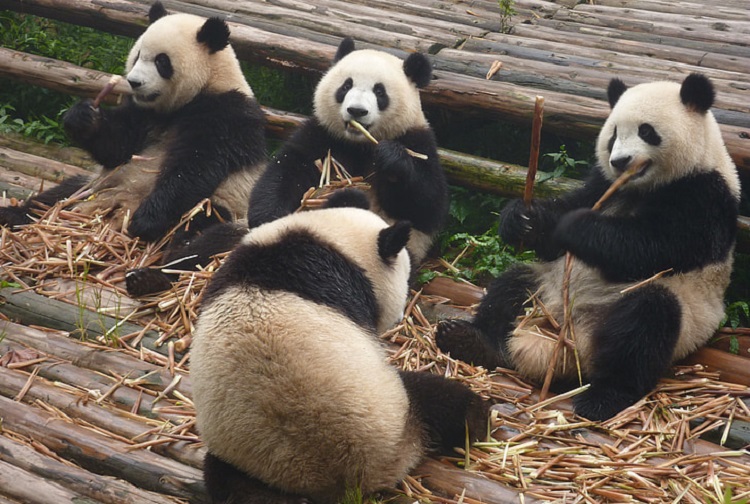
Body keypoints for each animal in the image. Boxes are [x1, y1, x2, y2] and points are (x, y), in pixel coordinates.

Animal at [0, 2, 268, 296]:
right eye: (138, 54)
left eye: (162, 61)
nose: (134, 82)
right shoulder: (141, 114)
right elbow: (117, 147)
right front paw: (83, 117)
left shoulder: (226, 115)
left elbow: (194, 168)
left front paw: (145, 221)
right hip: (93, 187)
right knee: (54, 197)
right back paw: (11, 214)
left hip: (226, 207)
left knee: (203, 237)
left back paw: (152, 277)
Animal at [191, 190, 490, 504]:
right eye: (406, 279)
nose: (401, 314)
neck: (334, 240)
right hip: (398, 409)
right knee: (439, 398)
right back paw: (477, 419)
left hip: (248, 463)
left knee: (231, 482)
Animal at [247, 37, 450, 266]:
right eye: (346, 85)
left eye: (380, 91)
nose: (357, 111)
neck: (359, 144)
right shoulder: (323, 136)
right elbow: (286, 171)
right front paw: (268, 218)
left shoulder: (418, 140)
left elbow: (427, 205)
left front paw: (391, 157)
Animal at [438, 74, 744, 422]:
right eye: (613, 136)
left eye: (646, 131)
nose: (620, 161)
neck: (641, 187)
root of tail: (565, 341)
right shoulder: (602, 183)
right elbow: (564, 219)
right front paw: (522, 219)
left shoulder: (704, 196)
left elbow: (651, 247)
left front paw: (575, 227)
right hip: (544, 290)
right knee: (510, 285)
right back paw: (469, 339)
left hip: (677, 316)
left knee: (644, 324)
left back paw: (602, 399)